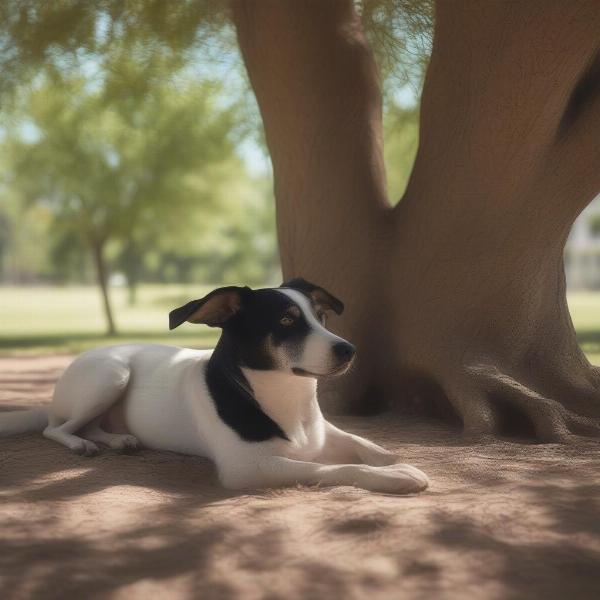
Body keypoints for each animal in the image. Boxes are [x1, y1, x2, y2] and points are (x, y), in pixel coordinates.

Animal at [2, 278, 428, 494]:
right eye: (287, 321)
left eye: (320, 316)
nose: (349, 350)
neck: (284, 398)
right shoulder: (250, 468)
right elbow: (333, 468)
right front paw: (396, 476)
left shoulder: (325, 432)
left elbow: (365, 445)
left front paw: (395, 460)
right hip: (109, 375)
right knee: (55, 427)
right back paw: (79, 443)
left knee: (90, 426)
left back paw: (118, 439)